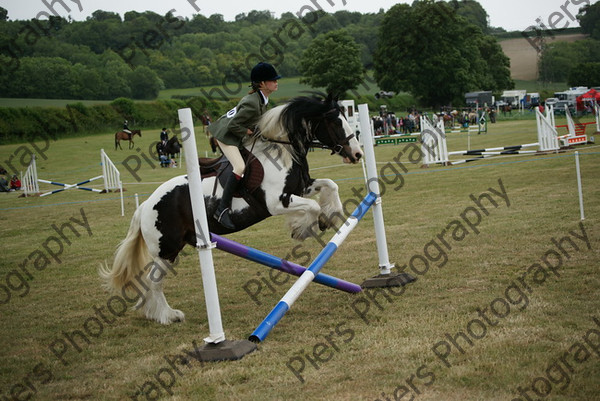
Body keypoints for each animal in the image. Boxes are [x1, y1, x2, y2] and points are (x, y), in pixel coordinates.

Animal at [101, 93, 364, 322]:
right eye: (335, 122)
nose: (357, 154)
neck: (282, 152)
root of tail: (145, 206)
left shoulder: (300, 188)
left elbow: (330, 186)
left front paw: (328, 217)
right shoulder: (277, 202)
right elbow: (312, 207)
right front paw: (303, 229)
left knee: (148, 283)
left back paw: (151, 312)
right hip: (167, 249)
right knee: (154, 282)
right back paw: (167, 316)